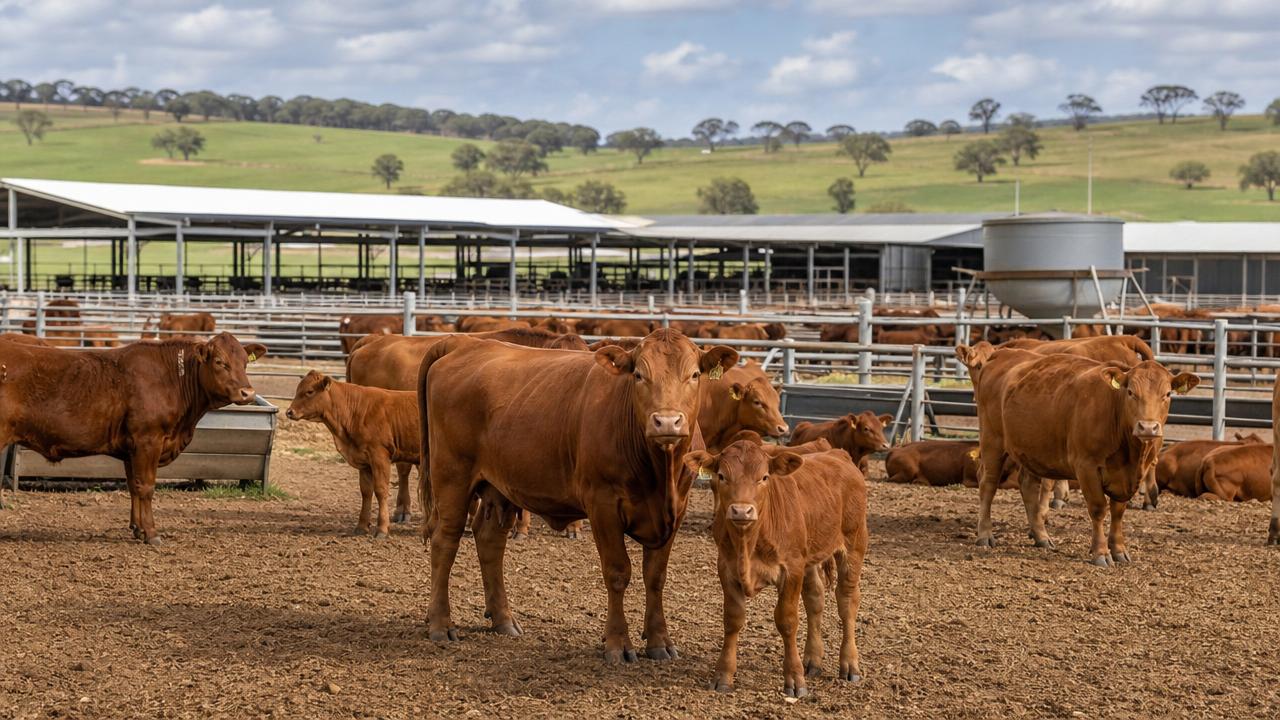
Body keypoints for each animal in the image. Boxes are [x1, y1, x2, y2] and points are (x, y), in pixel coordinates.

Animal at [0, 333, 266, 543]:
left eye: (245, 363)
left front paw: (137, 528)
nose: (248, 392)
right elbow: (146, 486)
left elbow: (133, 486)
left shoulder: (132, 448)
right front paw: (151, 533)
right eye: (220, 362)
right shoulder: (148, 440)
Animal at [286, 371, 420, 538]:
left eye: (309, 391)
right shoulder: (364, 462)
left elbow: (381, 490)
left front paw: (382, 528)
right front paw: (362, 526)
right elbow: (366, 492)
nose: (289, 412)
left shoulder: (380, 456)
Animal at [419, 329, 738, 661]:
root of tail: (464, 342)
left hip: (499, 486)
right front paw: (618, 644)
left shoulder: (676, 511)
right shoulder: (603, 505)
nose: (666, 421)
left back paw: (503, 620)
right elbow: (617, 572)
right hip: (452, 476)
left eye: (695, 374)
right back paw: (441, 624)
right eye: (638, 374)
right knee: (445, 541)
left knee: (490, 541)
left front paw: (659, 642)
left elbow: (656, 576)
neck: (660, 473)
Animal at [683, 437, 867, 697]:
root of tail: (837, 453)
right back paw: (812, 660)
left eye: (764, 477)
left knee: (847, 601)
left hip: (853, 545)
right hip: (810, 557)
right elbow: (732, 619)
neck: (748, 542)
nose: (741, 510)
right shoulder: (726, 569)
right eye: (721, 476)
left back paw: (850, 664)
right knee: (815, 598)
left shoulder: (791, 570)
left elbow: (787, 621)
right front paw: (723, 675)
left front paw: (794, 679)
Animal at [973, 351, 1198, 564]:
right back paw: (985, 534)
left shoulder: (1127, 477)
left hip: (1029, 449)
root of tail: (1003, 353)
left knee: (1028, 486)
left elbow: (1118, 511)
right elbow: (1098, 509)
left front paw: (1119, 550)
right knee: (988, 484)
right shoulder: (1086, 467)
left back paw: (1042, 537)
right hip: (992, 441)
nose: (1148, 427)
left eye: (1167, 394)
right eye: (1131, 392)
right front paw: (1101, 553)